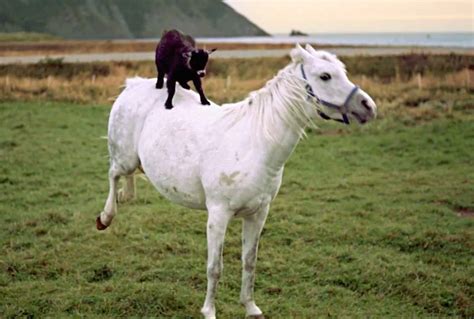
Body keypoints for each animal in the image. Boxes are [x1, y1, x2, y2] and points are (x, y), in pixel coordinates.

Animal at [98, 44, 376, 319]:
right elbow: (215, 267)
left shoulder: (258, 214)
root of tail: (134, 85)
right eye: (325, 76)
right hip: (125, 158)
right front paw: (209, 311)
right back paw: (106, 217)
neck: (254, 143)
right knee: (113, 173)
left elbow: (249, 261)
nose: (368, 106)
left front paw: (251, 308)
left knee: (127, 182)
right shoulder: (218, 214)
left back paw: (125, 196)